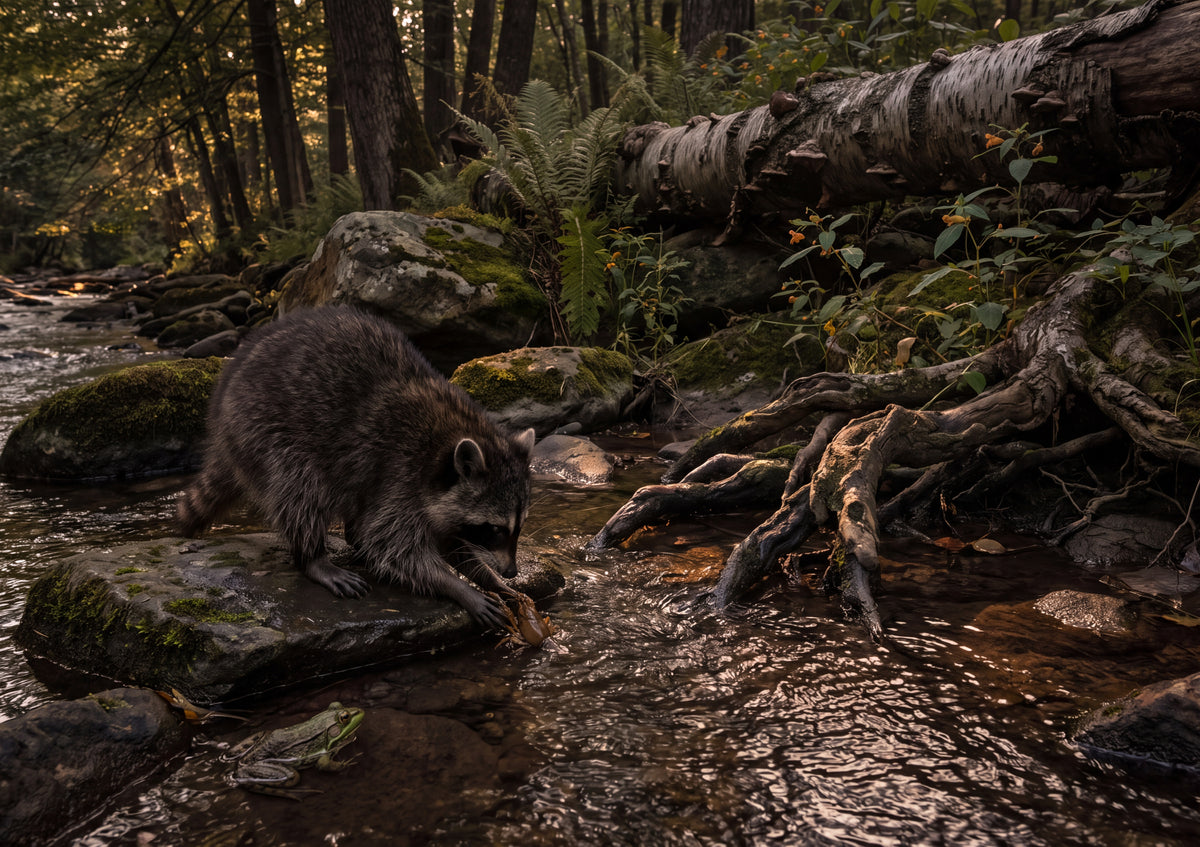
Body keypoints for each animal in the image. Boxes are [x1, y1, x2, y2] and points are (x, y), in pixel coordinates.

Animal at [178, 306, 535, 629]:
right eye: (494, 529)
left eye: (518, 528)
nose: (512, 572)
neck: (449, 438)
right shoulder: (401, 471)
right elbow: (393, 546)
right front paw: (456, 586)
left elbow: (450, 539)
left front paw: (487, 578)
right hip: (263, 428)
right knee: (300, 488)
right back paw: (313, 557)